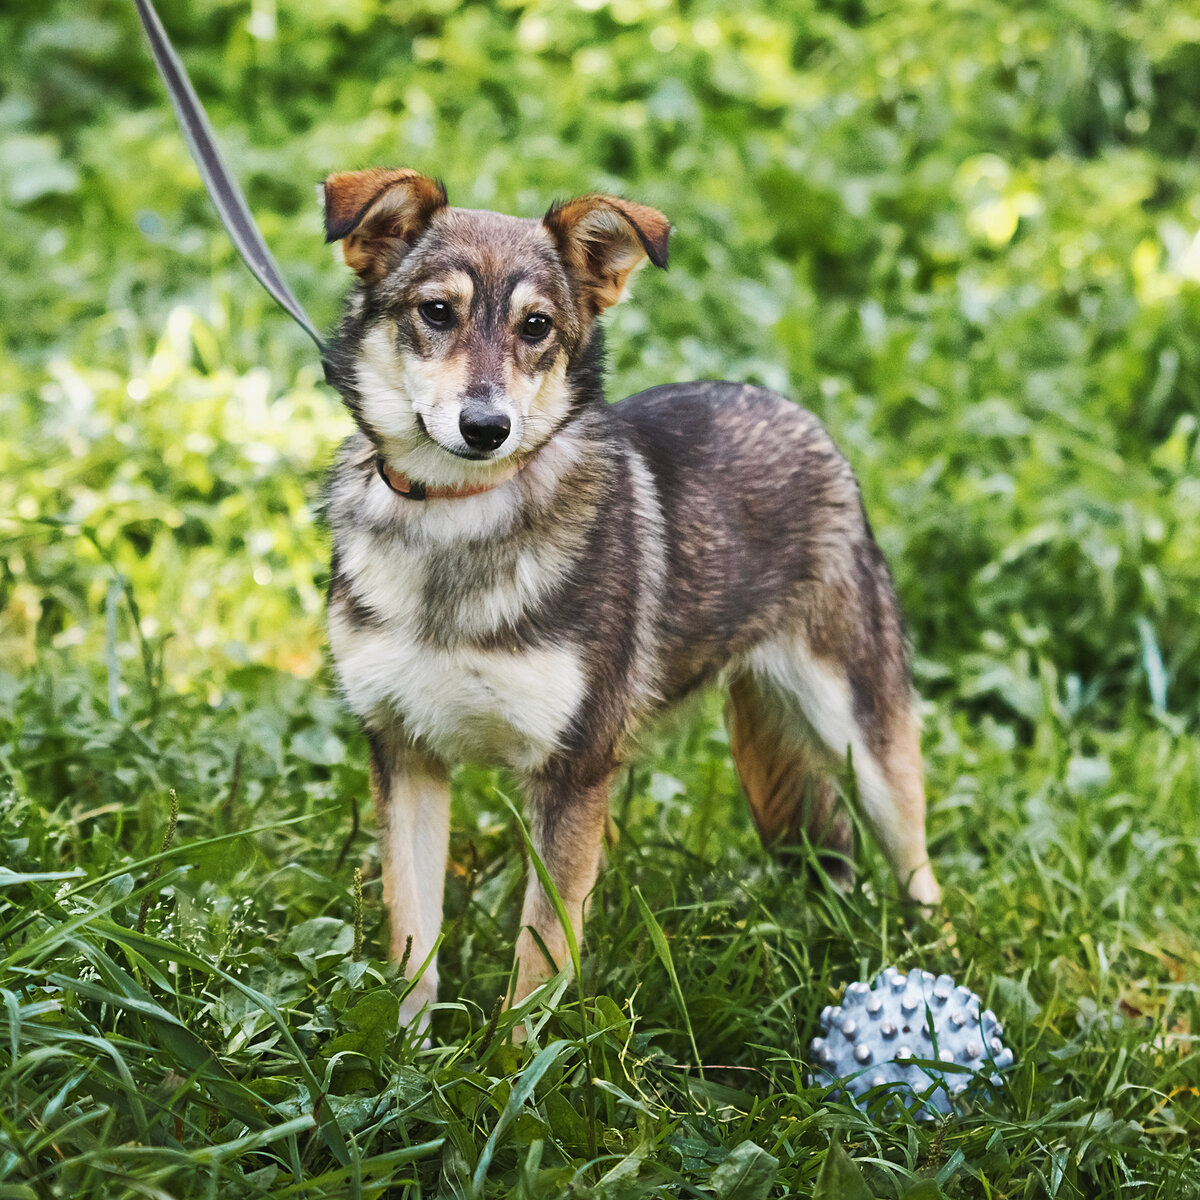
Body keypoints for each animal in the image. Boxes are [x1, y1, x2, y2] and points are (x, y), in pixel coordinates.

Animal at [324, 166, 940, 1032]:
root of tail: (795, 409)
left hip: (863, 727)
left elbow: (538, 960)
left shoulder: (577, 774)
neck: (456, 518)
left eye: (537, 327)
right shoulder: (405, 753)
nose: (486, 427)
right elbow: (414, 941)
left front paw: (512, 1064)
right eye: (436, 312)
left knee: (918, 862)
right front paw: (407, 1057)